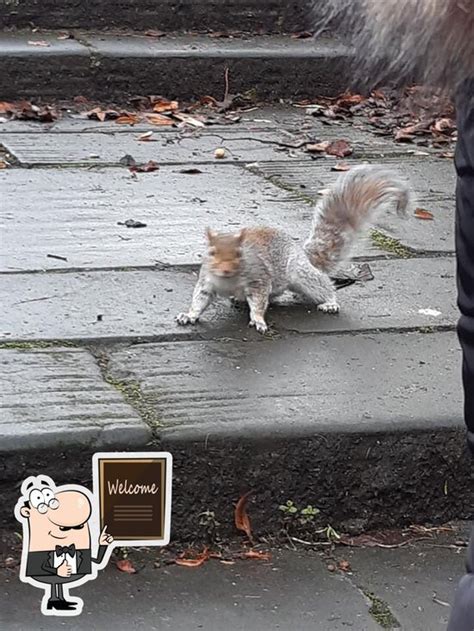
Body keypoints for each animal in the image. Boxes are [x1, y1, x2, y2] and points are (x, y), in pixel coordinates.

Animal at [176, 168, 410, 336]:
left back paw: (330, 303)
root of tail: (303, 253)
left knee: (322, 286)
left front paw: (258, 320)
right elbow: (199, 300)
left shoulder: (259, 280)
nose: (225, 270)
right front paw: (189, 315)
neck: (228, 281)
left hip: (300, 273)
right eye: (211, 252)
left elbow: (259, 303)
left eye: (240, 254)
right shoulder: (207, 282)